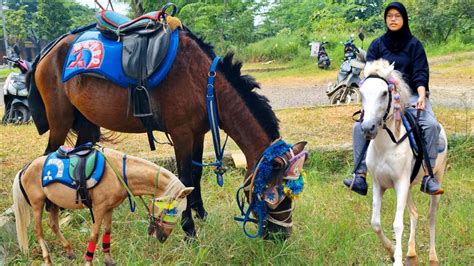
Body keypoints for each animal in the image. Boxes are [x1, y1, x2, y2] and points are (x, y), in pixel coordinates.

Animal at [12, 147, 194, 264]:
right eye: (174, 210)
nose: (163, 238)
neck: (119, 173)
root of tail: (26, 167)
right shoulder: (99, 209)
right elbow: (94, 235)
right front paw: (88, 262)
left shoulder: (109, 208)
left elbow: (107, 232)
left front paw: (108, 260)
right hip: (38, 204)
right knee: (38, 230)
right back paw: (48, 259)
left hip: (53, 203)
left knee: (54, 225)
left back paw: (69, 251)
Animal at [26, 25, 308, 239]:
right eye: (274, 195)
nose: (281, 235)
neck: (204, 81)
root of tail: (46, 52)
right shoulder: (182, 134)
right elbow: (184, 179)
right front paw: (189, 230)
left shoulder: (199, 133)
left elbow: (195, 175)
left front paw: (201, 214)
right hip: (60, 121)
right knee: (47, 156)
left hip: (85, 124)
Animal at [360, 59, 448, 266]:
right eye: (361, 93)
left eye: (384, 93)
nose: (368, 128)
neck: (387, 146)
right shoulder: (380, 184)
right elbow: (375, 223)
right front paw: (392, 251)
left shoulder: (400, 183)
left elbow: (398, 224)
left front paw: (397, 260)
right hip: (408, 187)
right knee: (414, 213)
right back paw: (411, 253)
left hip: (437, 178)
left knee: (432, 217)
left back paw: (433, 257)